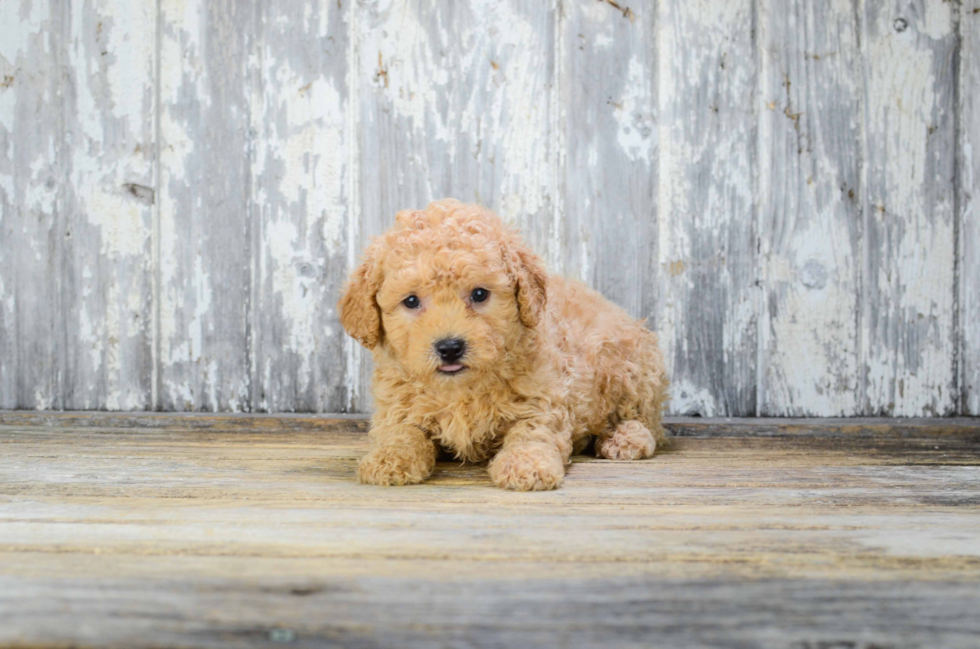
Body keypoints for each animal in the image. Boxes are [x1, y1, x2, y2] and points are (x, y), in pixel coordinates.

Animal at [336, 200, 668, 488]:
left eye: (480, 294)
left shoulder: (543, 399)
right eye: (411, 301)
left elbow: (532, 432)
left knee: (646, 420)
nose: (450, 347)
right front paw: (389, 459)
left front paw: (527, 465)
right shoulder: (397, 405)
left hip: (629, 369)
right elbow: (401, 431)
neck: (460, 388)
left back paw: (625, 438)